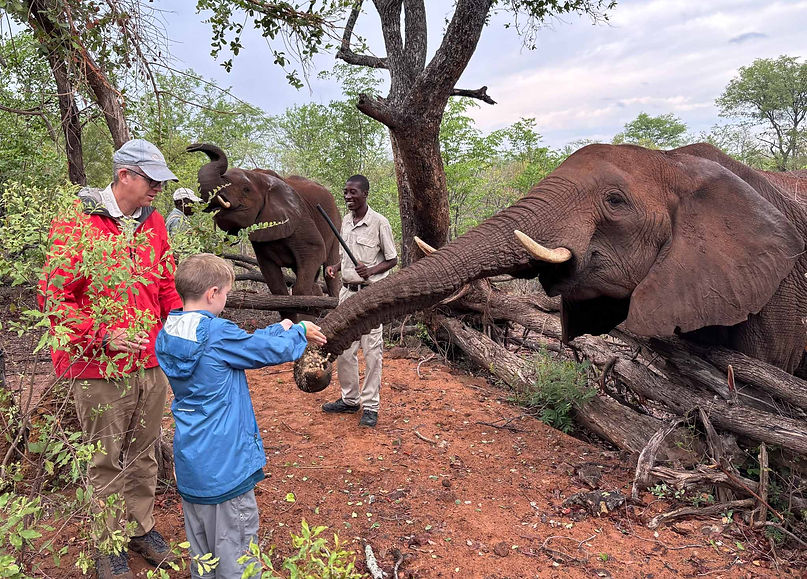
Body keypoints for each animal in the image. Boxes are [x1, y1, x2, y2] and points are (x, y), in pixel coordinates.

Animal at [187, 143, 342, 311]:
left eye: (246, 189)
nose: (190, 147)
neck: (262, 178)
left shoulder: (300, 218)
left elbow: (315, 251)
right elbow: (275, 285)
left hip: (336, 224)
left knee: (329, 270)